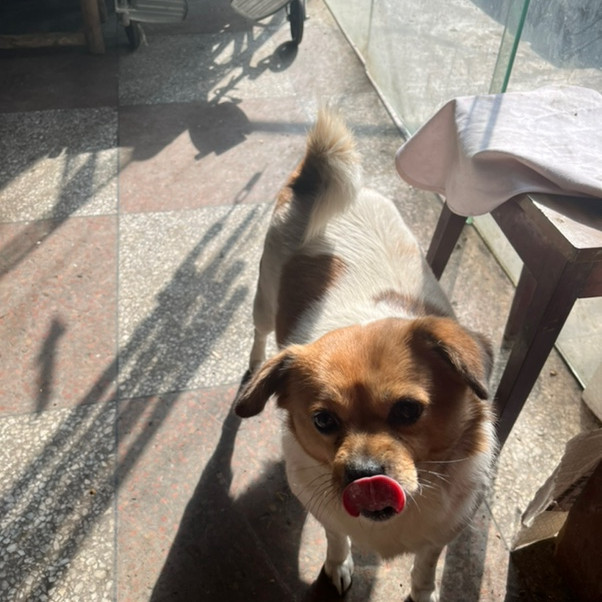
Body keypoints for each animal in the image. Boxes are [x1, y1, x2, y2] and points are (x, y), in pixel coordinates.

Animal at [234, 109, 496, 602]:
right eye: (323, 421)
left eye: (409, 411)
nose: (364, 474)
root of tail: (311, 178)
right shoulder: (329, 514)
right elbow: (337, 538)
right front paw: (337, 566)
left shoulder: (441, 533)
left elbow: (425, 567)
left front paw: (423, 592)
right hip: (264, 295)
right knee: (260, 332)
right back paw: (254, 367)